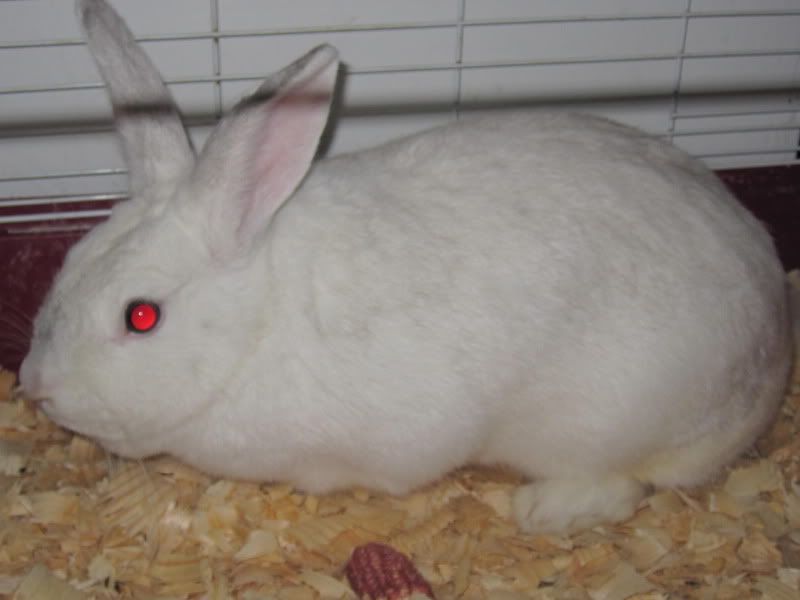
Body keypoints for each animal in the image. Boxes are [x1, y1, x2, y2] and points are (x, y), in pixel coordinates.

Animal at [20, 0, 793, 534]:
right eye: (71, 261)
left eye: (141, 316)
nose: (35, 386)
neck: (258, 323)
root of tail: (771, 354)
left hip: (608, 419)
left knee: (630, 484)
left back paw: (544, 510)